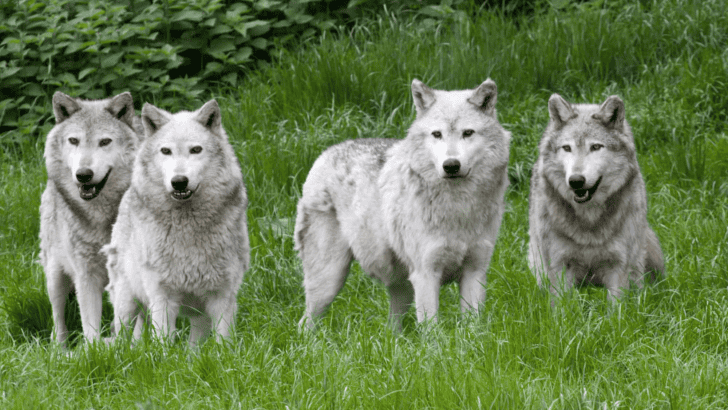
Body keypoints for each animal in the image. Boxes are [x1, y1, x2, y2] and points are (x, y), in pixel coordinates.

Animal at [39, 91, 143, 344]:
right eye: (74, 141)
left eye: (104, 142)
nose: (83, 175)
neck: (102, 218)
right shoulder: (85, 275)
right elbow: (90, 327)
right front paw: (95, 352)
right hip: (55, 276)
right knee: (58, 319)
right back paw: (60, 349)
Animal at [102, 100, 249, 345]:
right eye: (166, 151)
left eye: (196, 150)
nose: (179, 181)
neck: (187, 226)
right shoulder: (162, 296)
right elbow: (163, 343)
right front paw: (164, 356)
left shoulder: (223, 297)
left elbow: (223, 343)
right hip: (126, 303)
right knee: (122, 338)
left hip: (198, 317)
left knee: (193, 346)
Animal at [295, 79, 510, 329]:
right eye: (437, 134)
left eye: (468, 133)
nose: (451, 165)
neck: (458, 207)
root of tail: (326, 152)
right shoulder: (426, 274)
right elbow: (431, 330)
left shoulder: (475, 272)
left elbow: (473, 328)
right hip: (329, 280)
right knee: (304, 324)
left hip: (402, 287)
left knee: (391, 328)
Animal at [528, 94, 665, 302]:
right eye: (567, 148)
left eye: (596, 147)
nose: (576, 181)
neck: (589, 220)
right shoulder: (559, 265)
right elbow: (562, 307)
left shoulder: (618, 266)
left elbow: (617, 307)